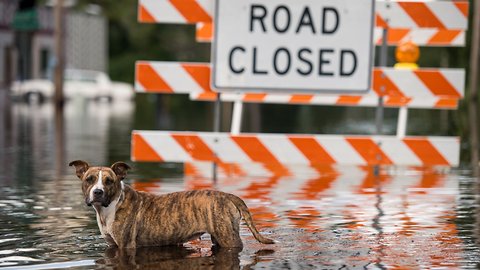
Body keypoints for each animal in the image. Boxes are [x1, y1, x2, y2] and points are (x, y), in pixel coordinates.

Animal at [70, 159, 276, 250]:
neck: (110, 206)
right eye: (89, 179)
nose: (98, 192)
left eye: (109, 181)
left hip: (228, 238)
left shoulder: (127, 246)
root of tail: (228, 195)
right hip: (219, 235)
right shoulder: (113, 245)